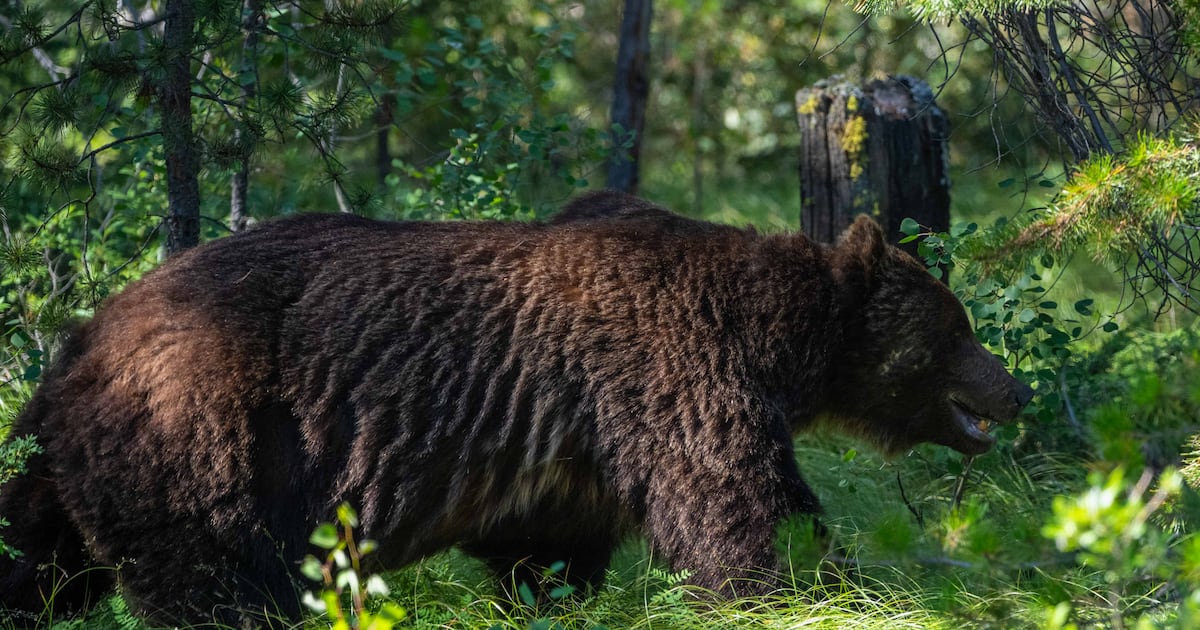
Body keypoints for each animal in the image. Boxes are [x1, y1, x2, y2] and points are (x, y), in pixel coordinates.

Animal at [0, 190, 1033, 626]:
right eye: (959, 327)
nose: (1015, 387)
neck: (774, 338)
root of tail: (79, 342)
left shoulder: (575, 439)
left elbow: (547, 545)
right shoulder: (674, 373)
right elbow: (745, 507)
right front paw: (820, 587)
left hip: (80, 464)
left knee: (36, 549)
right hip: (206, 437)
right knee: (215, 582)